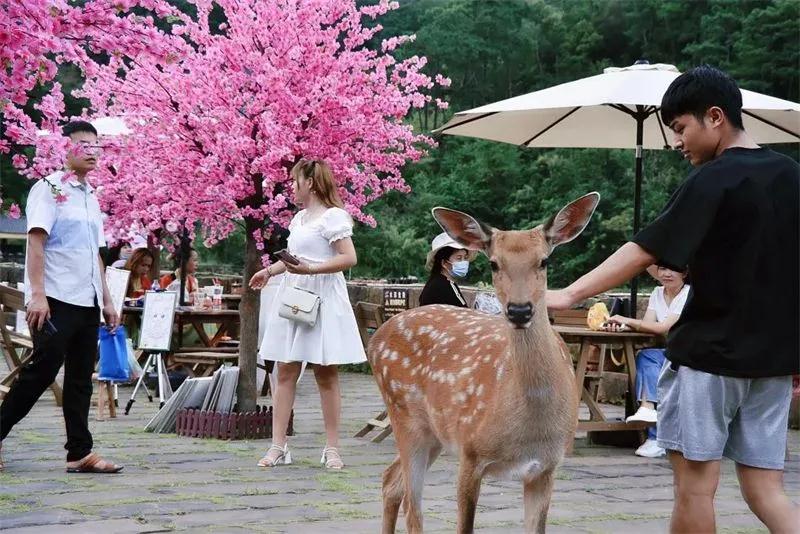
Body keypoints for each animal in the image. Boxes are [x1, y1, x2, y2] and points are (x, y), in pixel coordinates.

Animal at [368, 193, 600, 534]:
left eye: (544, 261)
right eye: (493, 263)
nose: (519, 310)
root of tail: (376, 337)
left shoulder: (545, 467)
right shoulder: (470, 452)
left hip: (433, 433)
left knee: (390, 481)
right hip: (404, 416)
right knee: (412, 507)